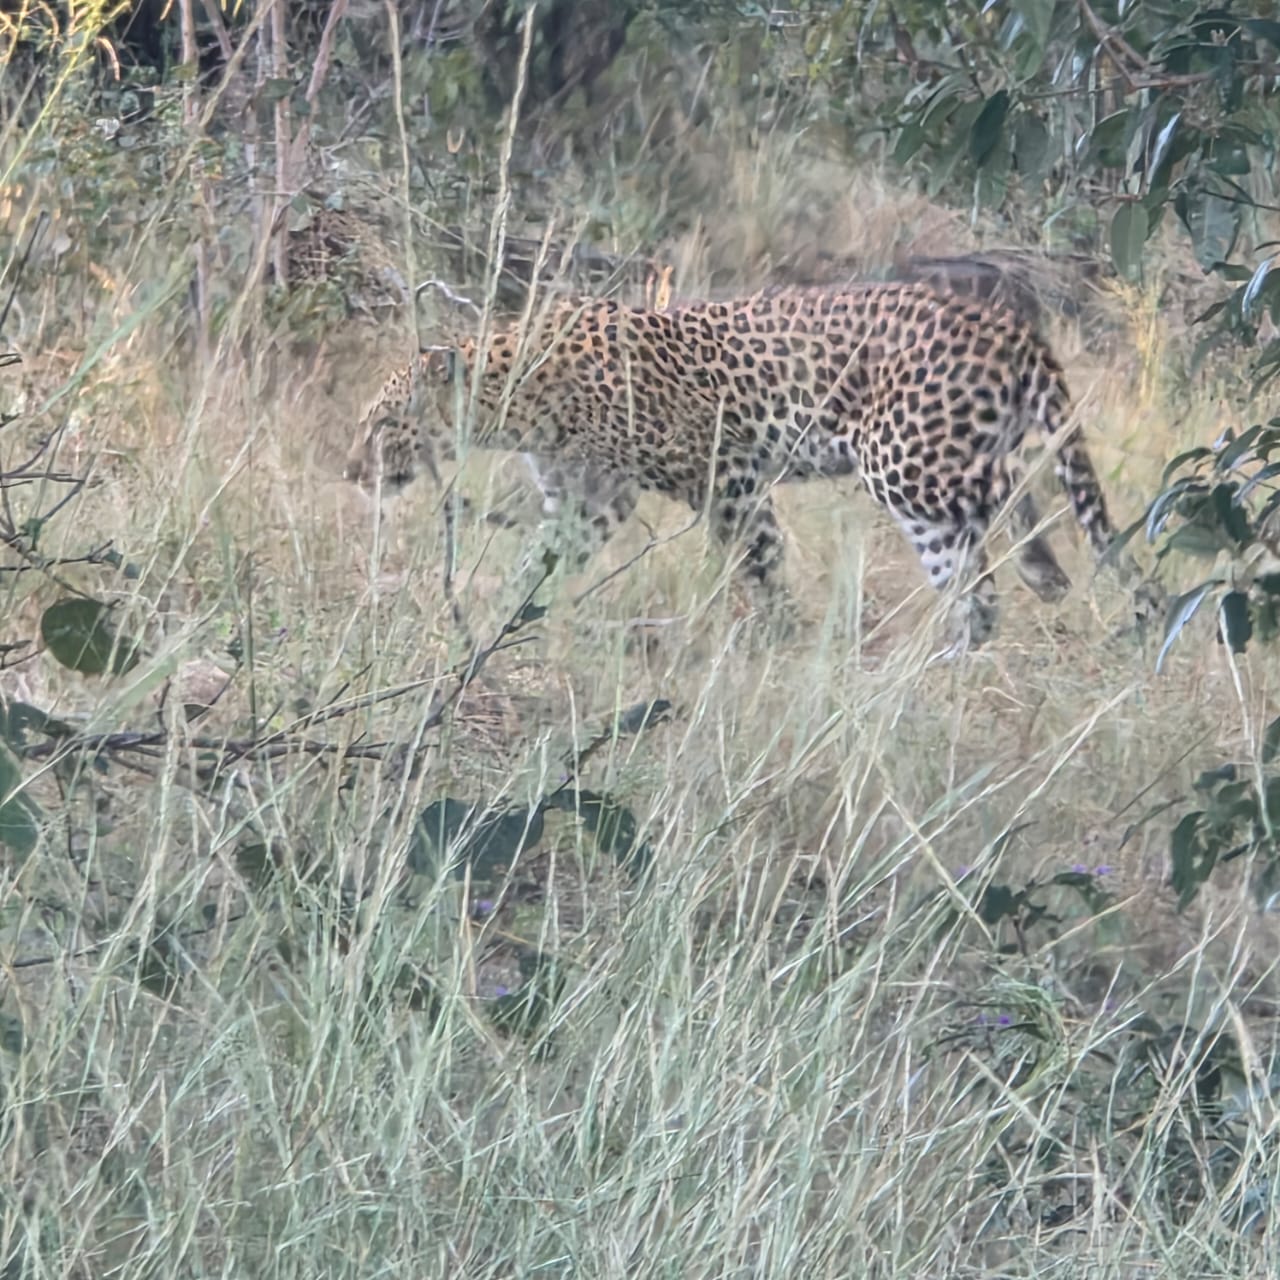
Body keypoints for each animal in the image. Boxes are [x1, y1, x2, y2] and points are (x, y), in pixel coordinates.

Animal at [343, 282, 1158, 650]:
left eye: (384, 422)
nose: (352, 471)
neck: (515, 397)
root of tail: (1011, 325)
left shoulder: (722, 473)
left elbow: (760, 554)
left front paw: (783, 634)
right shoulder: (589, 501)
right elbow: (537, 562)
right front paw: (501, 621)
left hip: (900, 458)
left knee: (1012, 505)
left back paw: (1024, 584)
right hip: (933, 473)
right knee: (982, 575)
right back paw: (983, 629)